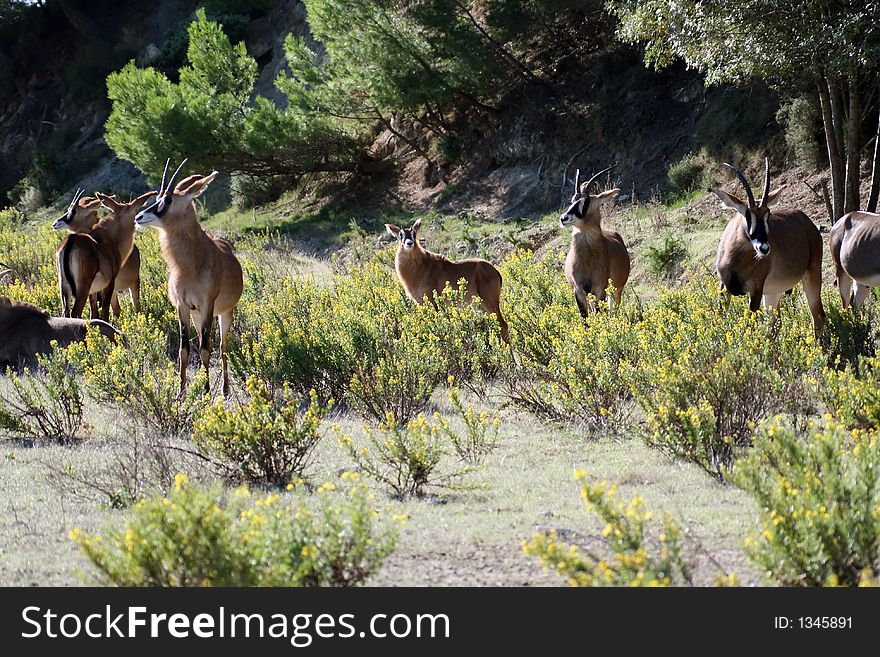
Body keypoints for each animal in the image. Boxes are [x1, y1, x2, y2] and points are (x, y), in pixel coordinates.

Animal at [52, 188, 151, 322]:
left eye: (74, 210)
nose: (55, 223)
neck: (107, 239)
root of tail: (71, 241)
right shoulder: (110, 284)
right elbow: (106, 313)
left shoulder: (94, 291)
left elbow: (95, 313)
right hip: (83, 287)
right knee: (76, 312)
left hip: (64, 287)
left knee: (66, 313)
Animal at [134, 159, 244, 394]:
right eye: (157, 197)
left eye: (168, 199)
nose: (139, 217)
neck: (190, 265)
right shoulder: (183, 306)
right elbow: (184, 348)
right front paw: (181, 391)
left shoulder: (207, 304)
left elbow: (205, 349)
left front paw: (206, 391)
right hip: (197, 315)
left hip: (224, 313)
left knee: (222, 347)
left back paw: (225, 389)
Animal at [560, 165, 628, 316]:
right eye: (572, 200)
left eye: (586, 202)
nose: (564, 218)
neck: (587, 258)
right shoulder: (579, 290)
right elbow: (585, 317)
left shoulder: (599, 289)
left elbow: (598, 313)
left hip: (617, 289)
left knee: (614, 308)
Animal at [708, 158, 824, 334]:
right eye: (747, 214)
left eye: (768, 214)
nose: (764, 248)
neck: (734, 259)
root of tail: (807, 223)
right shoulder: (724, 287)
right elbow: (720, 318)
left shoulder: (756, 289)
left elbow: (750, 326)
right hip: (772, 292)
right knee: (776, 323)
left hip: (812, 275)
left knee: (817, 316)